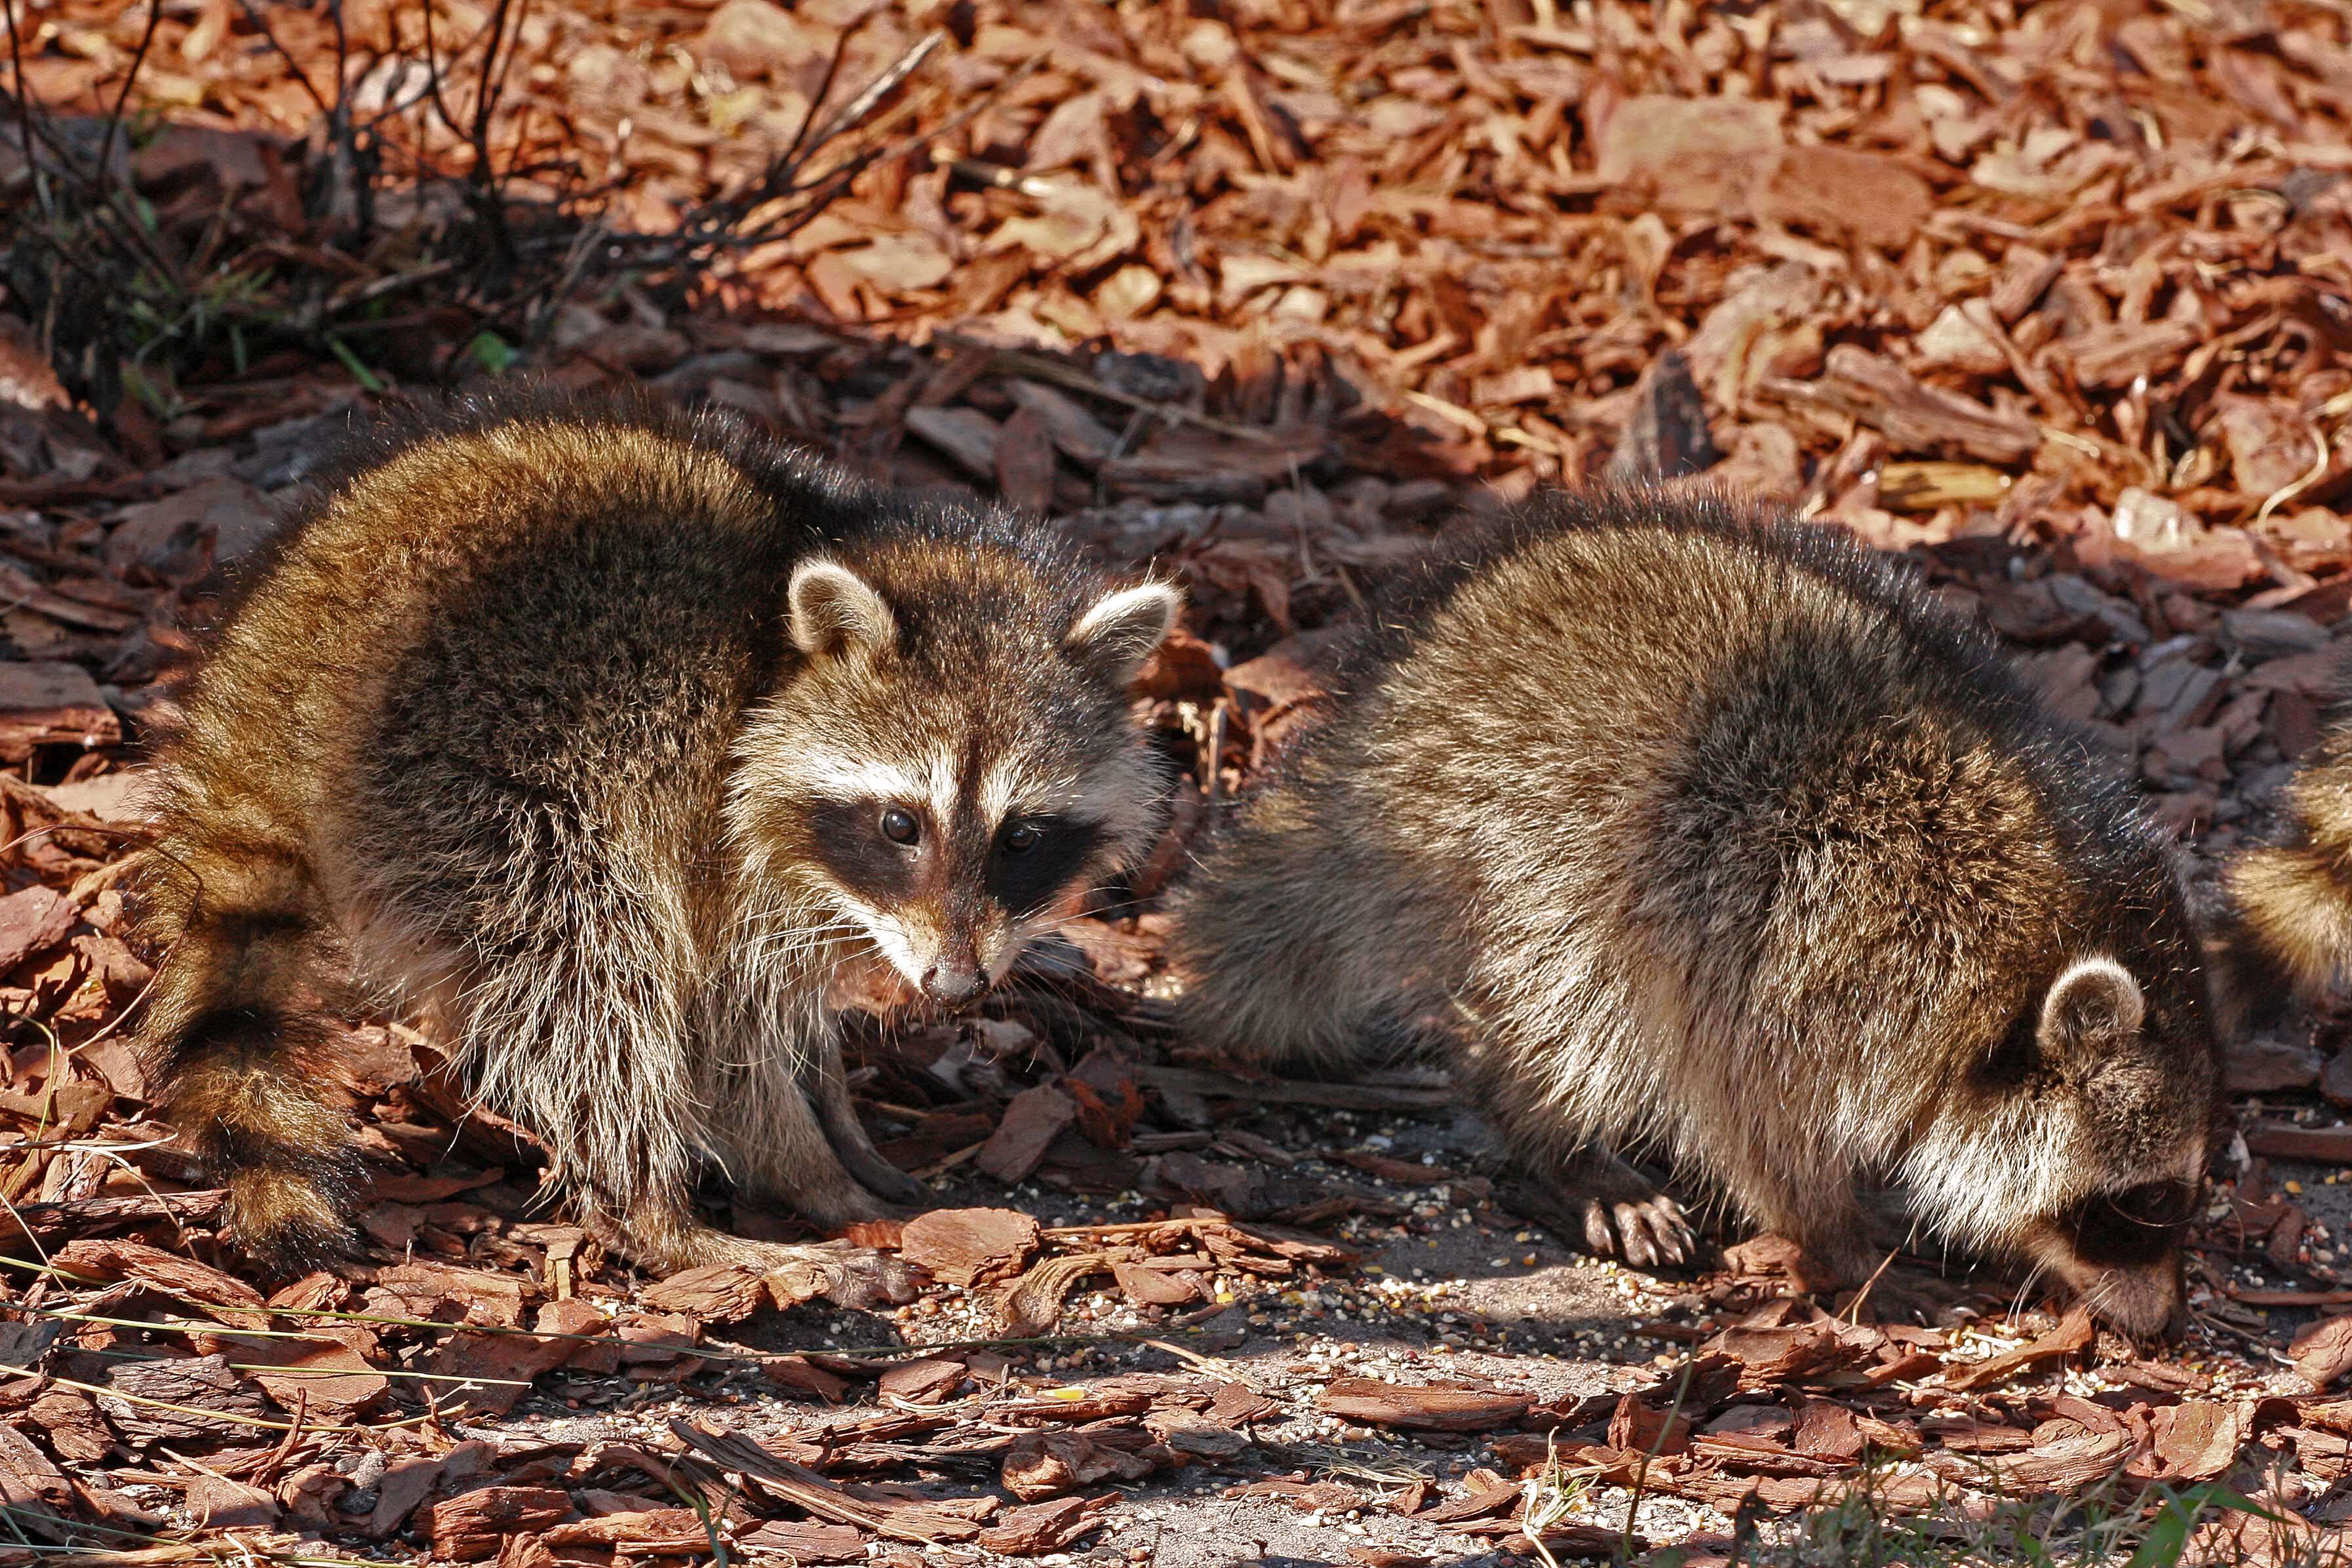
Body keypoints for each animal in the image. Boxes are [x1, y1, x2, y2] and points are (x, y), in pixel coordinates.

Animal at [128, 385, 1176, 1297]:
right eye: (899, 824)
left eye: (1023, 836)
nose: (957, 987)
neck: (777, 653)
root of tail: (278, 654)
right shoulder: (710, 822)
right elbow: (721, 1029)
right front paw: (811, 1172)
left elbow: (789, 1019)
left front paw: (837, 1112)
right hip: (471, 784)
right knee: (592, 972)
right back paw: (662, 1220)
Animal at [1176, 491, 2220, 1335]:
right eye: (2139, 1205)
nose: (2166, 1325)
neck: (2020, 936)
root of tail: (1378, 716)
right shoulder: (1812, 955)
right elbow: (1749, 1117)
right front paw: (1839, 1240)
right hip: (1508, 840)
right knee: (1574, 1006)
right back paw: (1560, 1140)